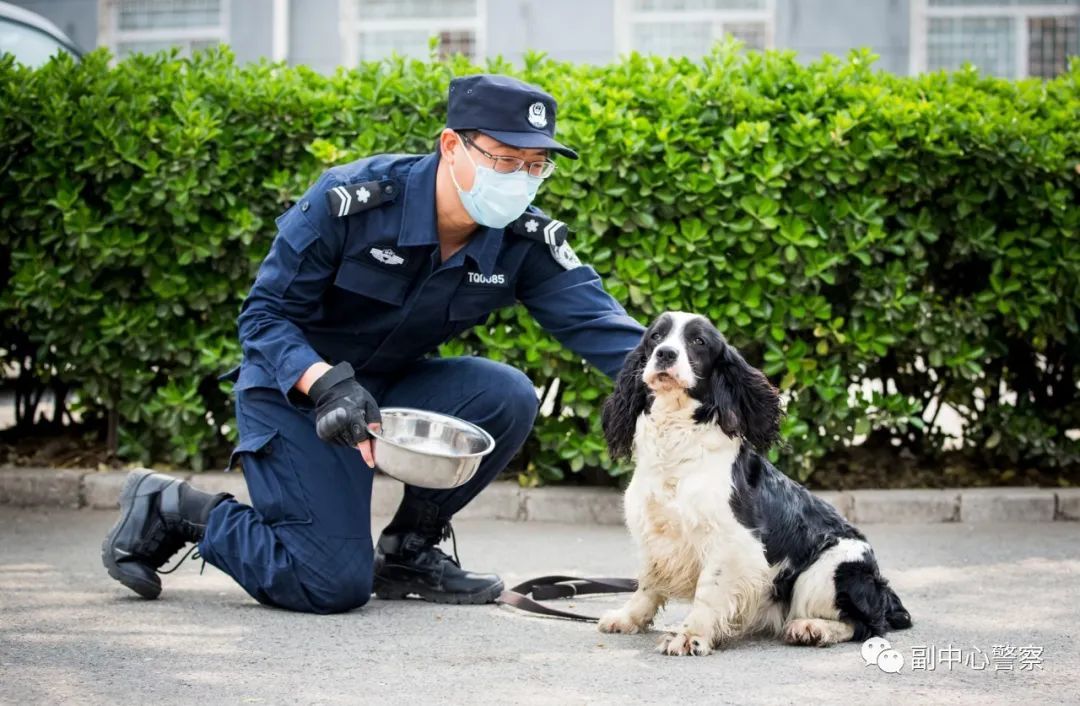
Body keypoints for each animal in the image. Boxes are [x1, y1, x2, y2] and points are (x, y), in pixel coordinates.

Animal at [600, 313, 911, 656]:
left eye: (698, 341)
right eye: (655, 337)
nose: (666, 354)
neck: (677, 444)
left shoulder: (731, 541)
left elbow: (708, 590)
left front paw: (689, 636)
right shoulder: (656, 533)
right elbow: (648, 582)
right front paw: (628, 618)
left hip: (830, 567)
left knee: (865, 625)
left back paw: (811, 628)